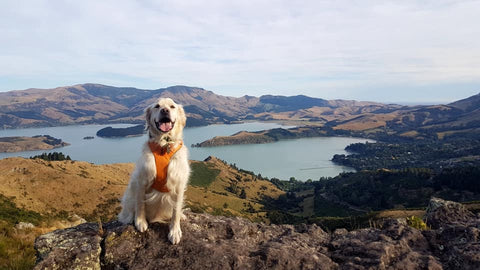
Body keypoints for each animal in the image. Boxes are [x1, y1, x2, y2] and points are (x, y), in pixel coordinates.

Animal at [117, 97, 189, 245]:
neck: (164, 145)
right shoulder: (141, 180)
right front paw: (140, 222)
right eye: (157, 106)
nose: (165, 110)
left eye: (172, 107)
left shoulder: (179, 184)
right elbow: (140, 204)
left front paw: (175, 231)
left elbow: (176, 211)